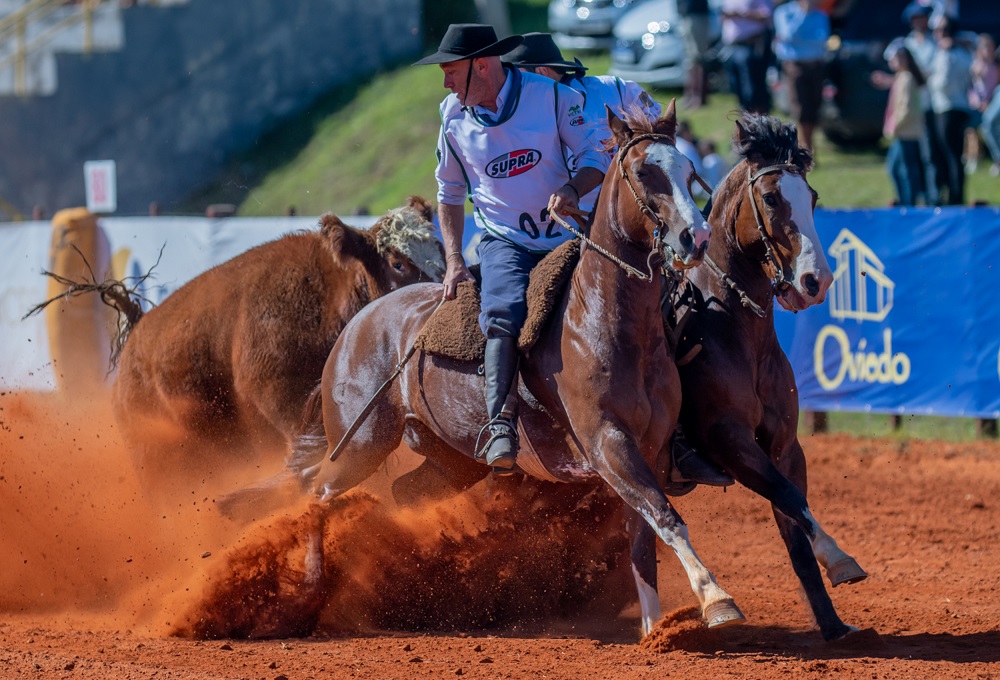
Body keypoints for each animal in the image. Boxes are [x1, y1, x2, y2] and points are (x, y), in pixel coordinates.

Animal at [286, 106, 748, 632]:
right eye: (644, 172)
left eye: (690, 174)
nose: (697, 238)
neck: (602, 320)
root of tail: (355, 326)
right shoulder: (607, 442)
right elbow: (666, 518)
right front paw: (717, 600)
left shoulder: (648, 448)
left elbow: (643, 540)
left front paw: (655, 632)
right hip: (361, 443)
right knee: (315, 493)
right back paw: (309, 590)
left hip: (450, 460)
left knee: (403, 493)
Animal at [668, 113, 872, 644]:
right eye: (774, 198)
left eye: (813, 196)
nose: (816, 281)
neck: (737, 334)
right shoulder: (729, 442)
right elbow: (790, 498)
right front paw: (843, 560)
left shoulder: (783, 446)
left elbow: (794, 520)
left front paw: (833, 625)